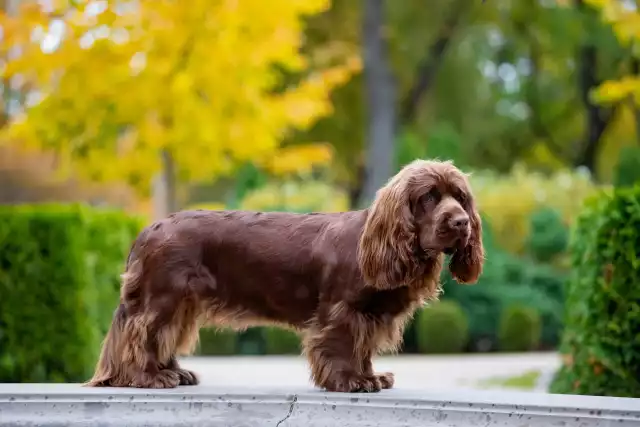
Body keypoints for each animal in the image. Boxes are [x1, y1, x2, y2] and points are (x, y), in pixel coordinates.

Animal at [86, 159, 484, 392]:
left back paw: (175, 372)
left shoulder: (368, 316)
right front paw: (351, 381)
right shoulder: (343, 310)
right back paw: (149, 377)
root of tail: (147, 229)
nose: (461, 223)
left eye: (461, 198)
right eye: (429, 197)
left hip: (181, 303)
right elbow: (343, 345)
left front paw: (370, 376)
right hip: (163, 297)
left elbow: (364, 348)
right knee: (141, 335)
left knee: (163, 336)